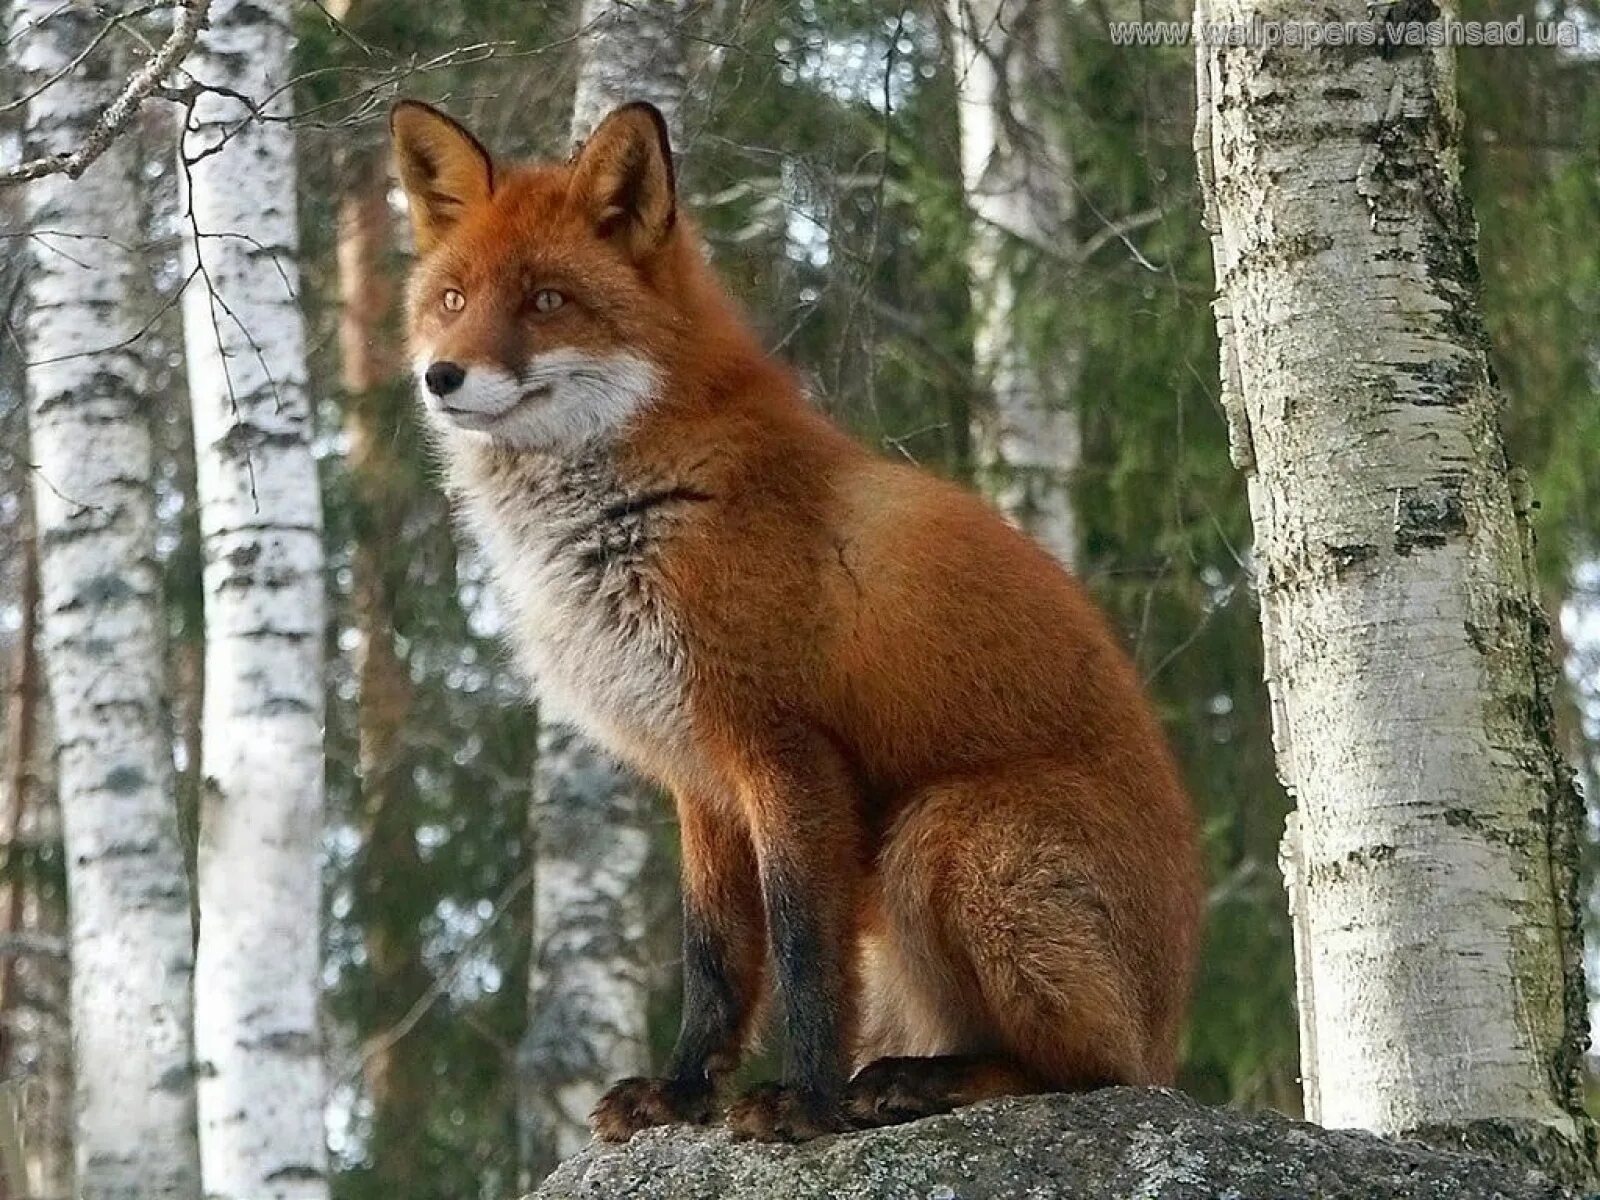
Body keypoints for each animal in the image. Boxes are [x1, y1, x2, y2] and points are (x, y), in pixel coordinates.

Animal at [393, 98, 1203, 1139]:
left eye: (544, 302)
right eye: (453, 299)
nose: (442, 377)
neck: (637, 513)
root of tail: (1171, 1034)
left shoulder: (784, 748)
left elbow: (805, 952)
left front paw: (806, 1101)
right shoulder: (697, 776)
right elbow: (714, 959)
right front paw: (683, 1091)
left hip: (947, 834)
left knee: (1092, 1072)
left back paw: (921, 1082)